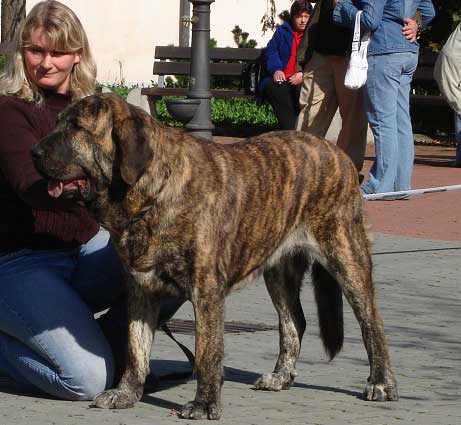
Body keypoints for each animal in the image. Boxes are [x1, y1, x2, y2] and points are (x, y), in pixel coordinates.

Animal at [33, 92, 398, 418]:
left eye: (77, 127)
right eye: (58, 122)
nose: (34, 152)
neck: (155, 193)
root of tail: (339, 154)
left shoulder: (206, 290)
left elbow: (207, 350)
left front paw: (204, 403)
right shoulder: (141, 288)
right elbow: (137, 347)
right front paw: (126, 393)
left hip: (346, 255)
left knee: (372, 322)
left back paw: (381, 383)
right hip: (278, 271)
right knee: (294, 321)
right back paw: (281, 377)